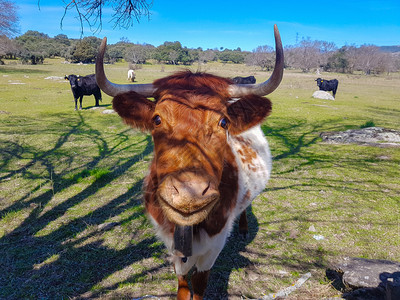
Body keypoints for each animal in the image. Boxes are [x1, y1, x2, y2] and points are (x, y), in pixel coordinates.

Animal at [96, 24, 284, 298]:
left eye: (224, 122)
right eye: (157, 119)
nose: (188, 195)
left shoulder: (214, 247)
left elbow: (200, 283)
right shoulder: (171, 246)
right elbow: (183, 284)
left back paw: (243, 228)